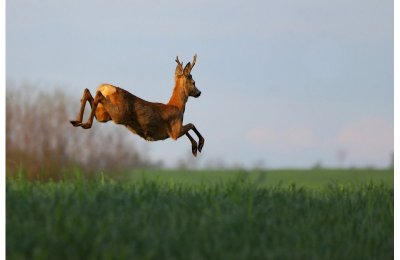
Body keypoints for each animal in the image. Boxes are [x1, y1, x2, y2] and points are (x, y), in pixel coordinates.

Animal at [70, 53, 205, 156]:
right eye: (194, 82)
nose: (199, 93)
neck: (177, 106)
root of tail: (106, 87)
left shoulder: (176, 129)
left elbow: (189, 127)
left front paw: (194, 148)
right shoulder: (174, 131)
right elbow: (191, 124)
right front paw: (199, 145)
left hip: (103, 115)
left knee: (88, 92)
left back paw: (77, 121)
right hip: (118, 114)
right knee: (97, 95)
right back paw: (85, 123)